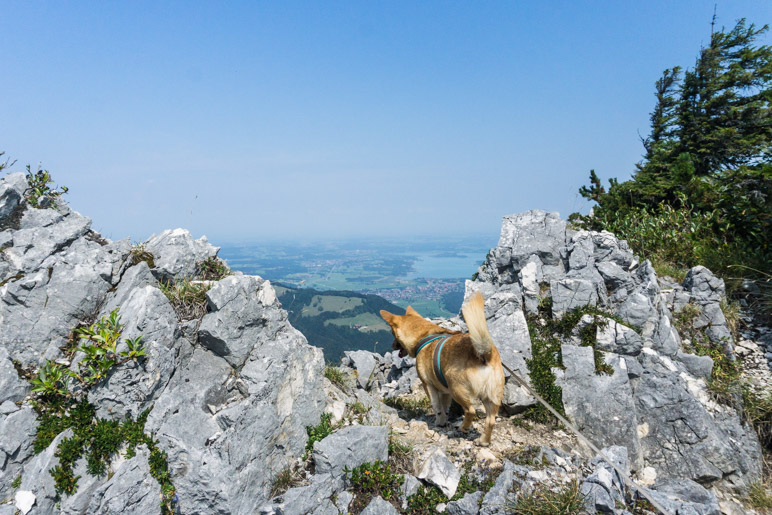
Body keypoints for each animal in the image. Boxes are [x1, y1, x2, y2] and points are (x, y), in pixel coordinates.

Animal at [382, 292, 506, 446]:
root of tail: (483, 354)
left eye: (393, 335)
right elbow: (445, 408)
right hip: (492, 396)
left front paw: (439, 422)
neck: (423, 336)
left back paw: (464, 428)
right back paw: (483, 441)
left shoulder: (428, 385)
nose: (392, 345)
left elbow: (437, 407)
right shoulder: (445, 392)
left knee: (470, 410)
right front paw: (444, 421)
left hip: (457, 389)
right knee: (491, 420)